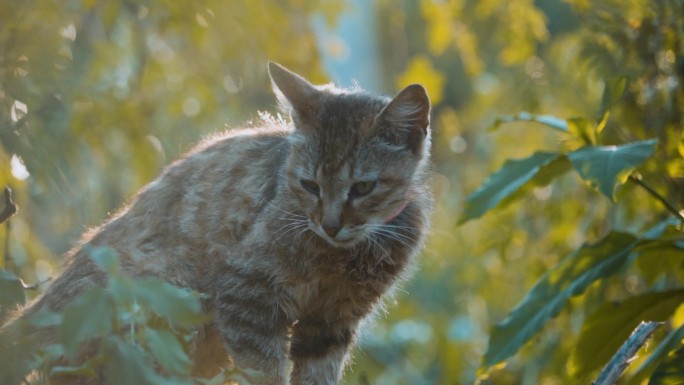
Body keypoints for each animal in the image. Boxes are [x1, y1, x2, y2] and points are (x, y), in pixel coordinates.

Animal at [1, 61, 432, 382]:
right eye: (310, 185)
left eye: (362, 188)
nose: (330, 225)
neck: (344, 256)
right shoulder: (247, 292)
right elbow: (264, 371)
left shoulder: (332, 322)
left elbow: (317, 373)